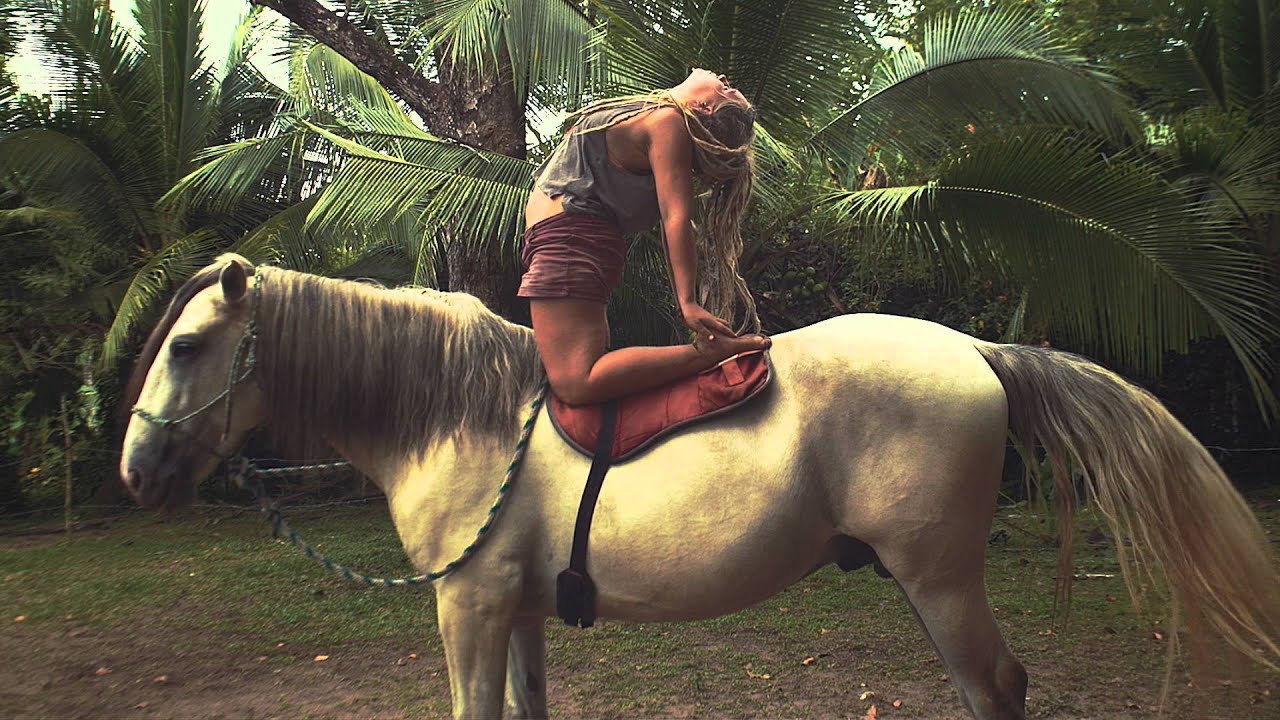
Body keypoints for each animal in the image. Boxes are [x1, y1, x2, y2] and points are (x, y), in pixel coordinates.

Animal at [121, 255, 1279, 720]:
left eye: (186, 346)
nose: (136, 471)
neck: (461, 415)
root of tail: (979, 351)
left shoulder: (468, 611)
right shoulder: (517, 615)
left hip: (941, 582)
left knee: (995, 688)